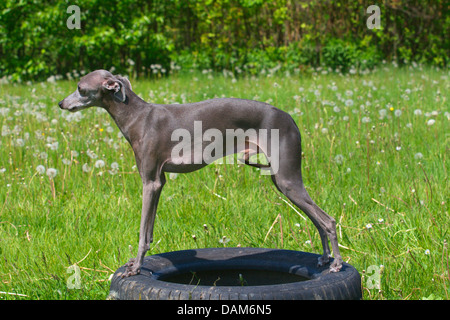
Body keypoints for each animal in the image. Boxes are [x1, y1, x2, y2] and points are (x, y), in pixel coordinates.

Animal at [58, 70, 342, 278]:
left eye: (80, 88)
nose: (60, 103)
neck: (137, 116)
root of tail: (291, 119)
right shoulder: (159, 183)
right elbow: (148, 232)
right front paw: (137, 262)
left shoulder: (150, 182)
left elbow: (141, 232)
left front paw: (136, 267)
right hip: (281, 179)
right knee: (317, 220)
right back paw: (324, 258)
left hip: (287, 179)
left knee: (328, 220)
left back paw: (337, 263)